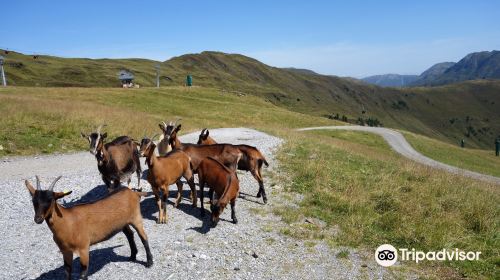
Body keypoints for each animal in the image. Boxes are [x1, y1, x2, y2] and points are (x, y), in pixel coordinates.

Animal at [24, 176, 152, 278]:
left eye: (50, 200)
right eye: (33, 200)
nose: (38, 219)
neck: (67, 222)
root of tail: (134, 193)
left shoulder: (84, 248)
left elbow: (83, 273)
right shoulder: (65, 251)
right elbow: (68, 271)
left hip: (136, 217)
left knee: (144, 237)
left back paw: (149, 262)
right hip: (123, 223)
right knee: (130, 234)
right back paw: (132, 256)